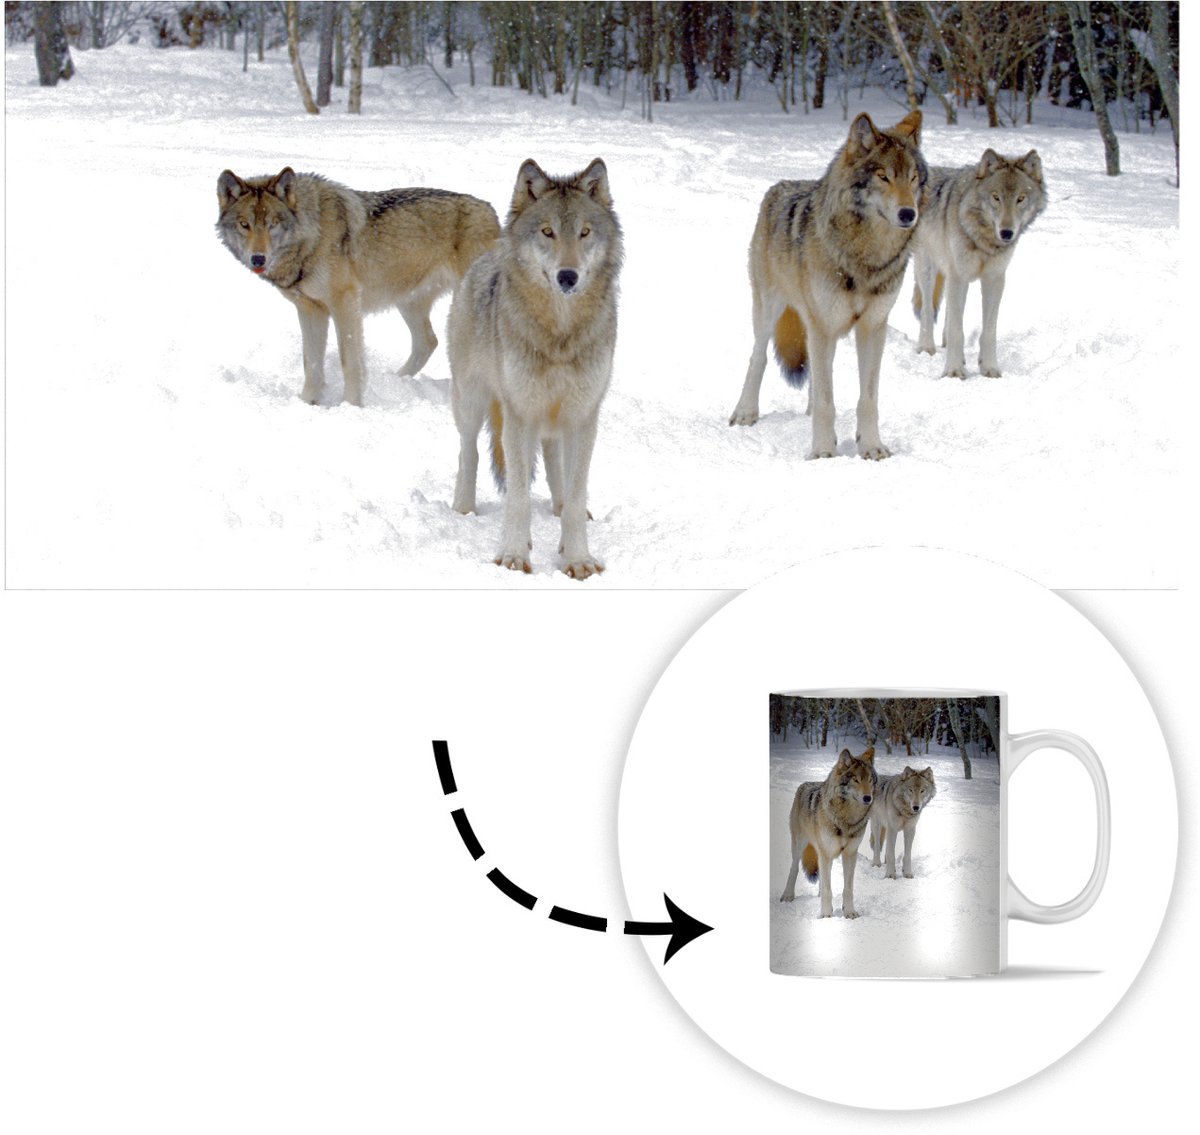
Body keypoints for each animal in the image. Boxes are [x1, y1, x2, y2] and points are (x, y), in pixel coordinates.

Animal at [216, 167, 500, 406]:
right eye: (244, 224)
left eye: (272, 224)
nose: (258, 259)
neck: (312, 235)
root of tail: (491, 210)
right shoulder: (310, 310)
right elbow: (311, 363)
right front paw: (307, 402)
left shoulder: (345, 303)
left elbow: (349, 361)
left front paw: (351, 405)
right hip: (408, 302)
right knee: (428, 342)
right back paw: (396, 380)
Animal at [448, 158, 623, 580]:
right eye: (547, 232)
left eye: (584, 232)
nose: (567, 276)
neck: (559, 333)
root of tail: (486, 255)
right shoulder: (519, 414)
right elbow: (518, 496)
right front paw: (513, 555)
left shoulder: (583, 415)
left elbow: (575, 496)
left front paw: (577, 559)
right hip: (472, 401)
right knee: (468, 451)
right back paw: (463, 509)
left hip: (555, 417)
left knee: (555, 463)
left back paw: (557, 508)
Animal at [729, 111, 925, 460]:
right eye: (883, 176)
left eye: (913, 177)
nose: (908, 214)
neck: (866, 258)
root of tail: (780, 186)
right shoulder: (823, 325)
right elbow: (826, 401)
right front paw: (822, 452)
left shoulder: (873, 327)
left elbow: (867, 399)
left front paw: (871, 447)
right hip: (771, 310)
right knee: (759, 357)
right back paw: (745, 413)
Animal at [779, 746, 877, 918]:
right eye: (856, 780)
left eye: (870, 780)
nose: (868, 798)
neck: (846, 820)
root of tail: (805, 784)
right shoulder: (826, 852)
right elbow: (827, 889)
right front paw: (826, 915)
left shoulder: (850, 854)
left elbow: (847, 888)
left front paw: (849, 912)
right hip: (800, 846)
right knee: (794, 869)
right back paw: (788, 895)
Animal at [912, 149, 1046, 378]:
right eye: (996, 197)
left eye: (1020, 199)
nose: (1007, 232)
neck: (984, 240)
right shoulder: (959, 275)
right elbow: (957, 329)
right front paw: (954, 370)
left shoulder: (994, 279)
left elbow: (989, 330)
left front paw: (989, 368)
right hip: (927, 268)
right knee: (928, 310)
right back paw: (926, 348)